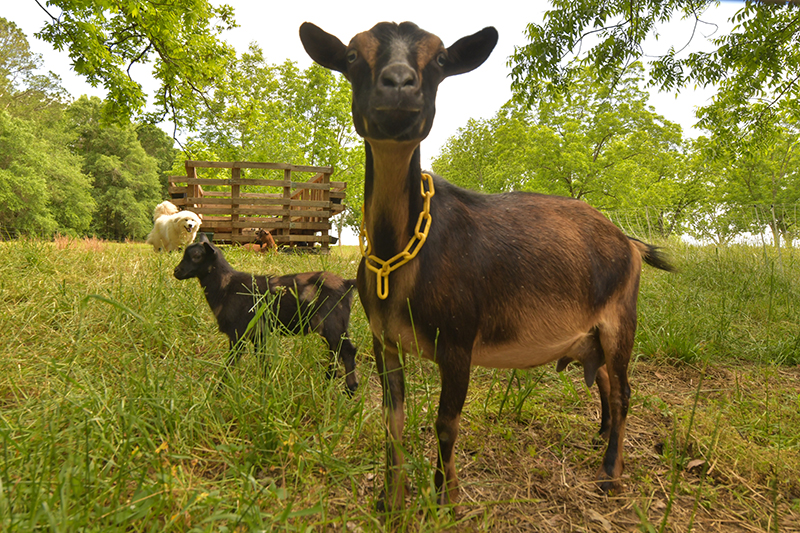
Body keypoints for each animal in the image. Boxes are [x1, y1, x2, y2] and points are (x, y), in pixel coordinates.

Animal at [173, 233, 359, 394]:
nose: (176, 271)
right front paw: (266, 384)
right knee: (335, 351)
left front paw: (217, 393)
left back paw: (350, 391)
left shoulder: (238, 333)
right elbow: (262, 358)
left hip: (333, 322)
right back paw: (328, 382)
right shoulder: (258, 333)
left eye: (196, 256)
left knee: (347, 351)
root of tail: (347, 283)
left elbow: (230, 364)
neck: (226, 287)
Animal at [300, 21, 674, 509]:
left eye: (440, 59)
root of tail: (629, 242)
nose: (399, 84)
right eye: (350, 56)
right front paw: (391, 499)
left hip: (620, 317)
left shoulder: (459, 342)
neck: (398, 257)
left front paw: (446, 498)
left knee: (625, 390)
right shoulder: (385, 341)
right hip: (592, 333)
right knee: (609, 383)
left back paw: (611, 474)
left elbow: (446, 423)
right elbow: (391, 419)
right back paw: (601, 440)